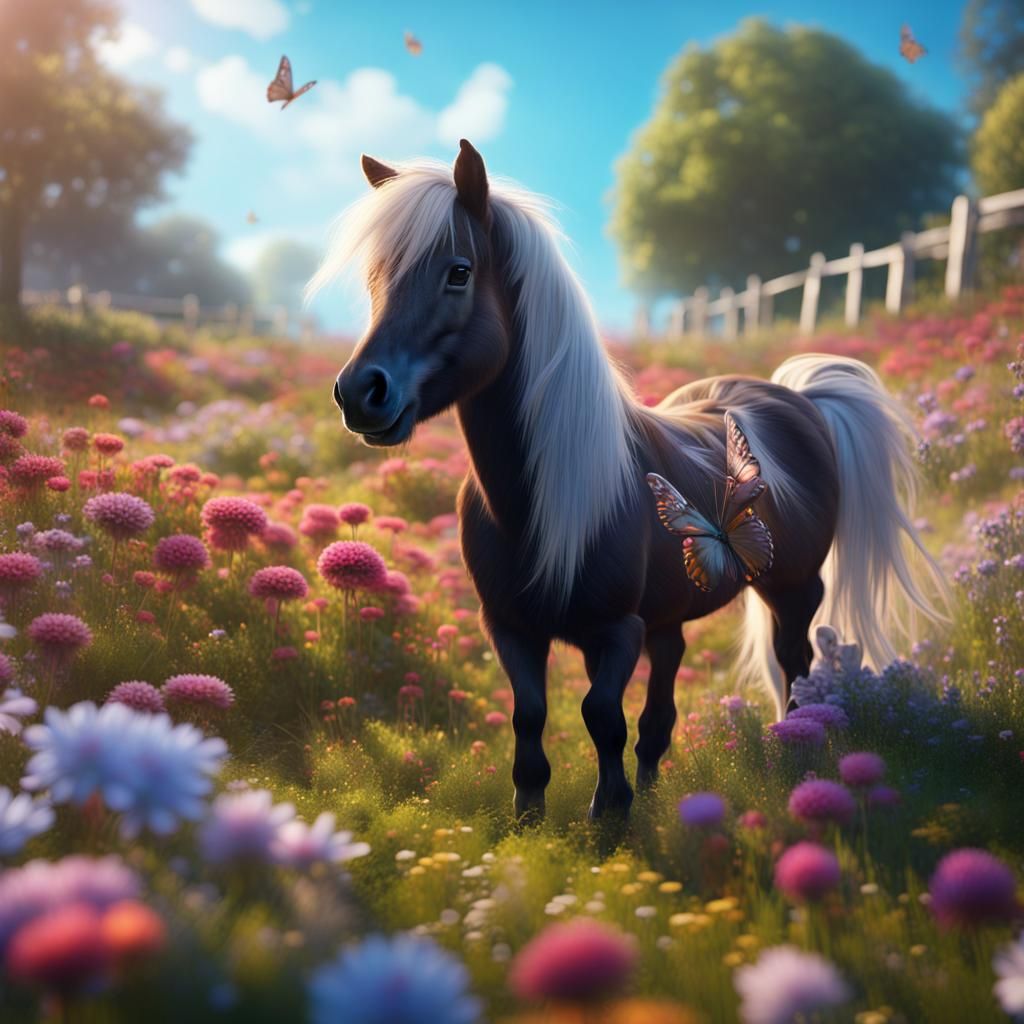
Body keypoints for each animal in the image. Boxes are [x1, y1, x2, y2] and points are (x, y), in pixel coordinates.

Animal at [314, 139, 945, 821]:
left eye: (458, 271)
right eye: (376, 278)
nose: (360, 393)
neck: (537, 497)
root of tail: (798, 398)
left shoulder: (615, 631)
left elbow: (600, 716)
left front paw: (610, 816)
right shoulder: (510, 627)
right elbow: (531, 716)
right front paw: (534, 815)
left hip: (794, 591)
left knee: (794, 669)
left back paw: (792, 753)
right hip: (672, 616)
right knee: (664, 703)